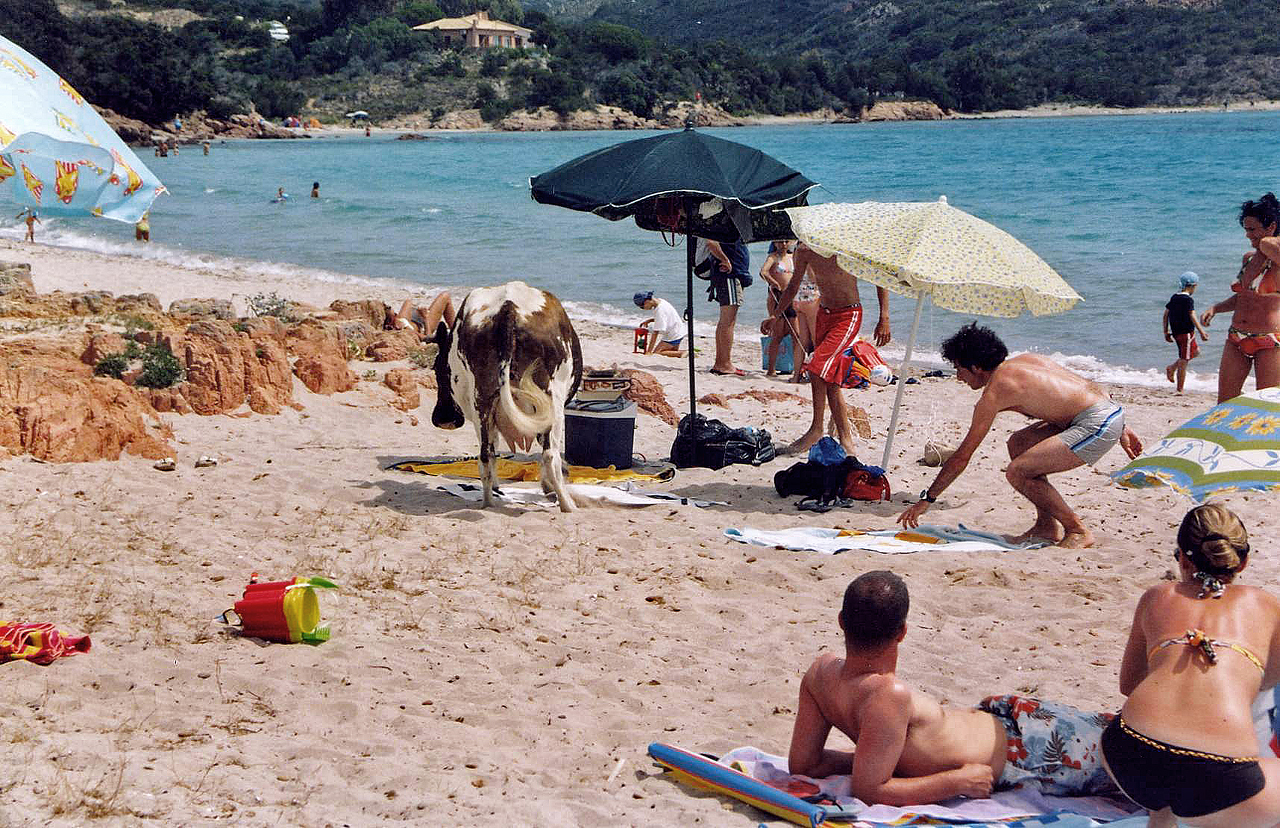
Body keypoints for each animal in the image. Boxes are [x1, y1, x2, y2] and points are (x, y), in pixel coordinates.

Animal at [435, 281, 586, 509]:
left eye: (437, 369)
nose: (442, 419)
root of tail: (508, 307)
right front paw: (548, 487)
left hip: (481, 400)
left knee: (485, 454)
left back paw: (489, 502)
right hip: (553, 402)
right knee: (550, 455)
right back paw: (568, 505)